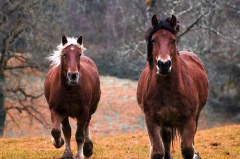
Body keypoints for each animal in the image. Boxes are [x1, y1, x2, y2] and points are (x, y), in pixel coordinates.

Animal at [137, 14, 208, 158]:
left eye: (173, 40)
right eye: (153, 40)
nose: (164, 64)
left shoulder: (189, 119)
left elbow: (187, 149)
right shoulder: (151, 120)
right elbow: (158, 151)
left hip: (194, 117)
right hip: (166, 123)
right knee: (166, 141)